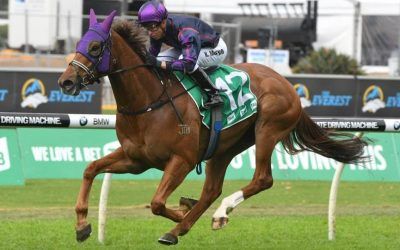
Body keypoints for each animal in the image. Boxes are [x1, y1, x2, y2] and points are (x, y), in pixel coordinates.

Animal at [57, 10, 368, 245]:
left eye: (95, 47)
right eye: (80, 43)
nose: (66, 82)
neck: (149, 102)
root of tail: (287, 84)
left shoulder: (181, 160)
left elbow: (157, 202)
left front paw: (181, 212)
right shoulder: (136, 160)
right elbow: (90, 169)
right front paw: (82, 226)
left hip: (267, 130)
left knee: (262, 179)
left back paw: (209, 217)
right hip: (224, 147)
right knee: (212, 190)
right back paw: (193, 221)